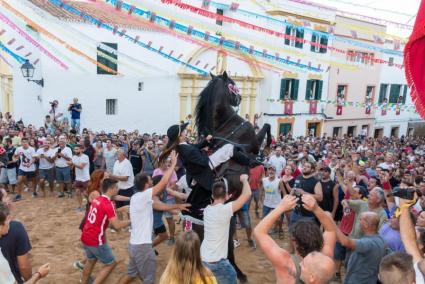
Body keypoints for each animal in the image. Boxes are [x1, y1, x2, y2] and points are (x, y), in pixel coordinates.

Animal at [194, 70, 270, 280]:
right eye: (233, 85)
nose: (240, 97)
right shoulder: (254, 142)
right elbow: (267, 126)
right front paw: (268, 147)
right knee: (224, 241)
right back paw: (237, 271)